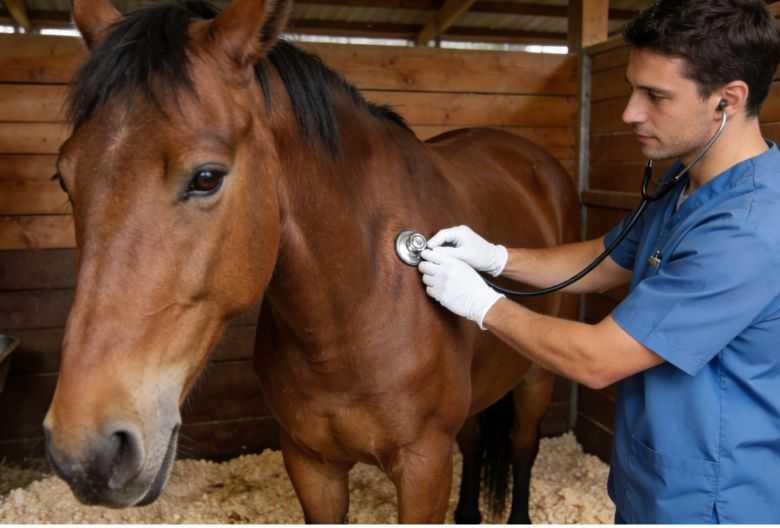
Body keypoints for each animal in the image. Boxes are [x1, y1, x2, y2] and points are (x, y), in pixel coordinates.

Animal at [42, 0, 579, 522]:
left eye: (206, 177)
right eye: (64, 178)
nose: (86, 453)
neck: (354, 310)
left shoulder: (424, 467)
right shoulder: (310, 464)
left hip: (537, 379)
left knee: (523, 446)